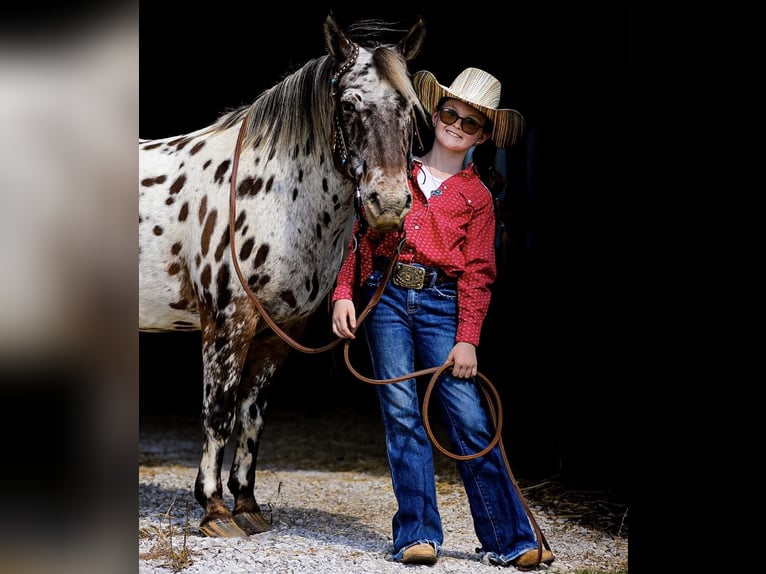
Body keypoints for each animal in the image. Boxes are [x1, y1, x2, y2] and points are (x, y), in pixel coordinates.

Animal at [139, 14, 426, 537]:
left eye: (409, 109)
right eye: (349, 104)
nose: (390, 206)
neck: (270, 194)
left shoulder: (278, 333)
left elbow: (252, 417)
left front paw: (247, 506)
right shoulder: (227, 326)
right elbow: (219, 413)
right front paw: (214, 511)